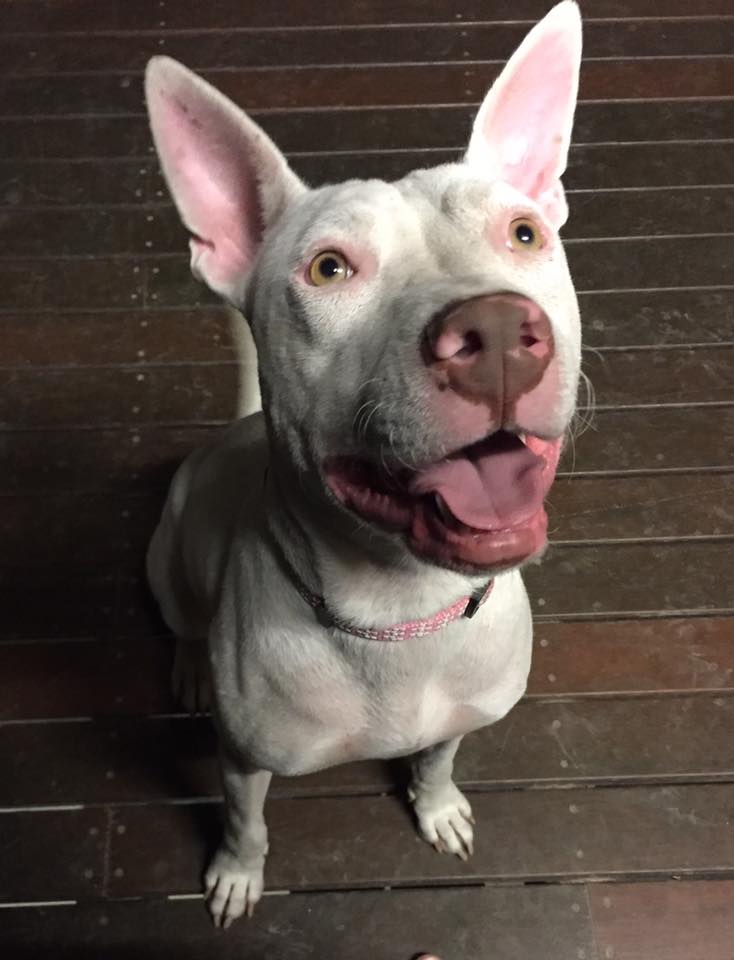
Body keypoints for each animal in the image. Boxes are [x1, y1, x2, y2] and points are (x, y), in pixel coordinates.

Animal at [145, 1, 583, 928]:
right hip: (166, 562)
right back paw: (190, 664)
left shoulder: (455, 717)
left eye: (523, 233)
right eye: (329, 268)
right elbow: (244, 820)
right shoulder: (242, 763)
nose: (498, 333)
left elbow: (437, 758)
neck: (398, 612)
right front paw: (237, 874)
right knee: (182, 619)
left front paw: (438, 804)